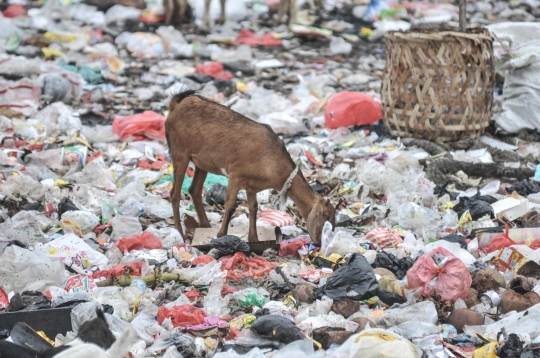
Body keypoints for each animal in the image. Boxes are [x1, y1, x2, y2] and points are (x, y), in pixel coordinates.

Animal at [166, 84, 334, 243]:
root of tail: (177, 103)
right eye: (326, 216)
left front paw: (254, 239)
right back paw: (180, 233)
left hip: (201, 163)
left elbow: (253, 208)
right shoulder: (236, 175)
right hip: (179, 151)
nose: (319, 242)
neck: (274, 162)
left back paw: (205, 226)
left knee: (194, 190)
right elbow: (230, 205)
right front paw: (221, 235)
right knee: (174, 193)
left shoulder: (251, 185)